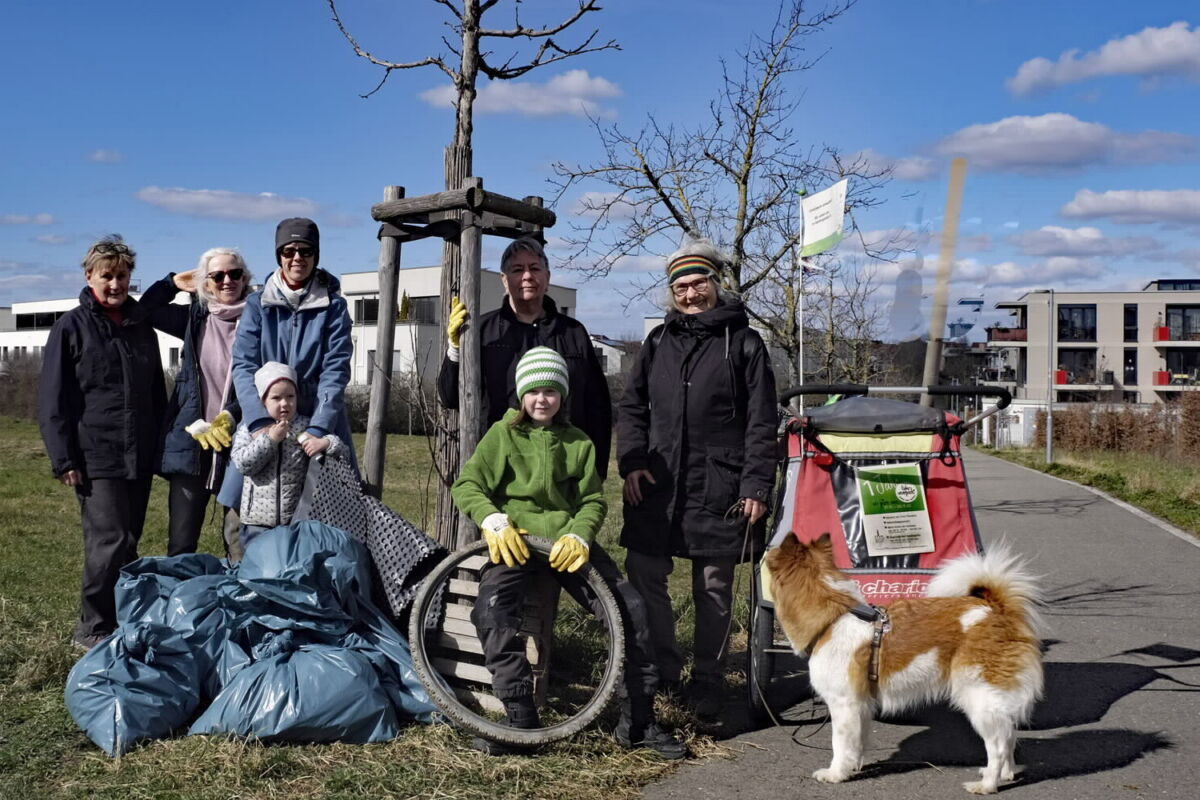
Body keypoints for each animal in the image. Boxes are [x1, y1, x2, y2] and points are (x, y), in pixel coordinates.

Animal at [768, 532, 1041, 796]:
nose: (765, 552)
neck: (832, 620)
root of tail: (997, 611)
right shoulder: (861, 704)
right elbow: (859, 740)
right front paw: (854, 766)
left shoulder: (844, 704)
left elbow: (840, 742)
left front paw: (836, 773)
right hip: (993, 701)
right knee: (1009, 734)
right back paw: (1004, 773)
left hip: (979, 698)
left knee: (998, 744)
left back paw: (987, 785)